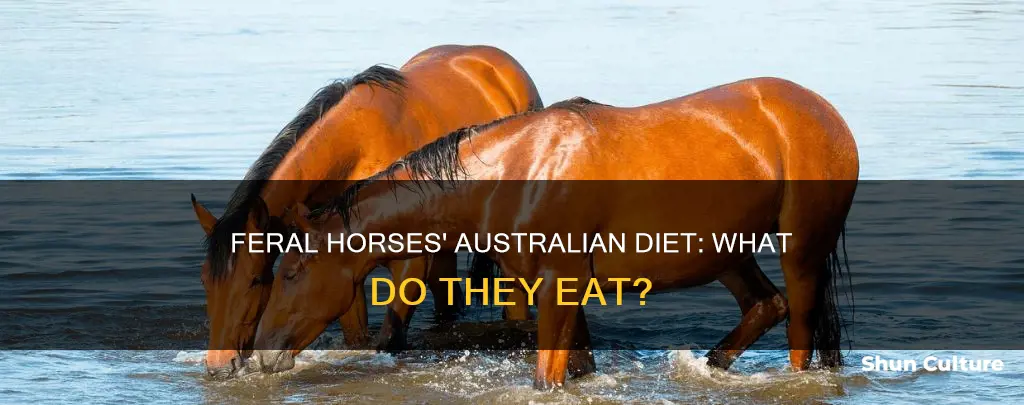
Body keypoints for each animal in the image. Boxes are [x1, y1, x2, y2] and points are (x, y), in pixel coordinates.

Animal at [189, 45, 542, 379]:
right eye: (205, 280)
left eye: (255, 280)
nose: (219, 365)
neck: (357, 150)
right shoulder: (339, 266)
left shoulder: (409, 265)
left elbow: (390, 340)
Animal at [250, 77, 859, 389]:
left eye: (293, 271)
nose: (260, 352)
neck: (518, 170)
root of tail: (824, 112)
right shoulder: (568, 292)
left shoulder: (557, 288)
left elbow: (547, 379)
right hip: (729, 255)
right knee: (765, 305)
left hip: (803, 251)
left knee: (799, 334)